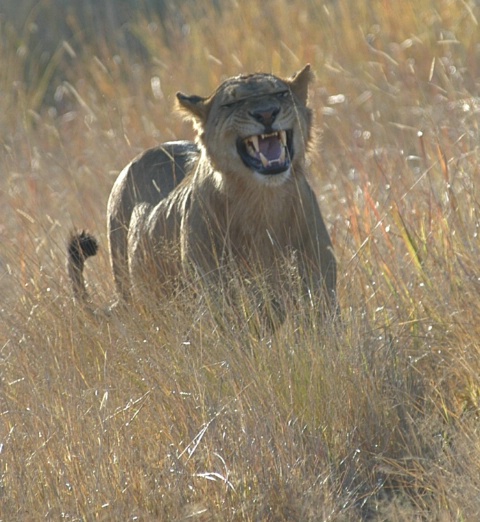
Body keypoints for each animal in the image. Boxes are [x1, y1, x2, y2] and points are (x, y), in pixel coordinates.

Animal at [68, 65, 338, 316]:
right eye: (231, 103)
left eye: (280, 93)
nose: (266, 113)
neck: (263, 201)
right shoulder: (218, 300)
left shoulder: (321, 293)